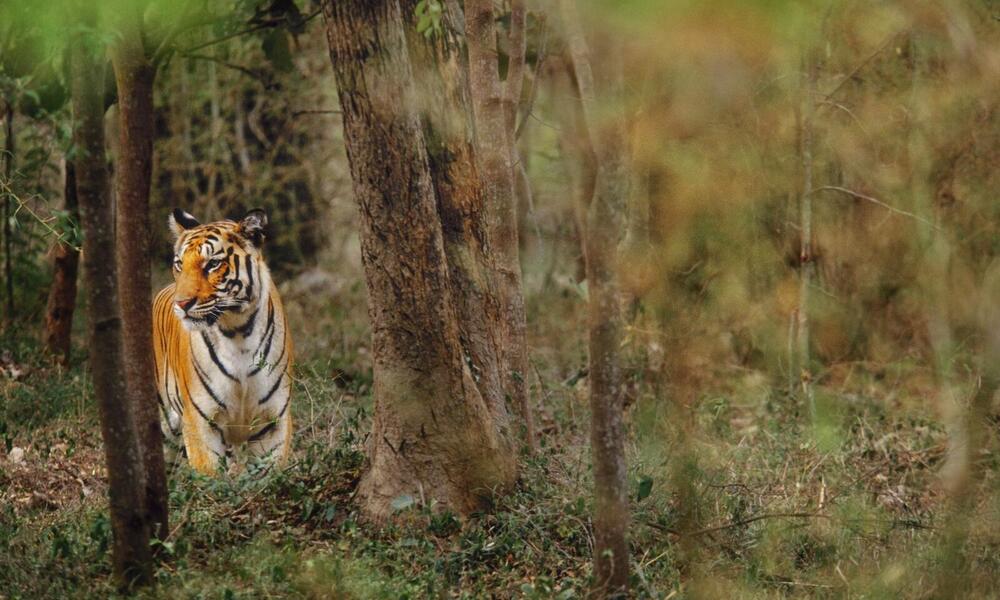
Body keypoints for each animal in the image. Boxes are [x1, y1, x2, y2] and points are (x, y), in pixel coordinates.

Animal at [152, 206, 292, 474]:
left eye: (213, 264)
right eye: (179, 264)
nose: (181, 303)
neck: (238, 333)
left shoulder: (273, 424)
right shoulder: (201, 422)